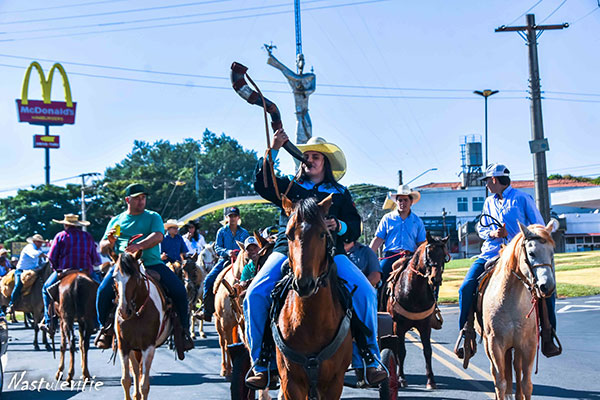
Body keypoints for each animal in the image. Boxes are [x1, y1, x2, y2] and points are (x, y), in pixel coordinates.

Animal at [112, 252, 171, 398]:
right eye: (114, 277)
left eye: (136, 276)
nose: (124, 311)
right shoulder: (123, 346)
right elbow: (126, 380)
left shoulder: (148, 347)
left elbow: (145, 385)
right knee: (135, 370)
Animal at [386, 233, 448, 390]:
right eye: (429, 253)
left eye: (444, 256)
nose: (435, 279)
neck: (413, 291)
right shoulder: (398, 326)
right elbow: (401, 351)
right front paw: (401, 378)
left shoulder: (425, 326)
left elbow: (427, 351)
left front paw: (431, 380)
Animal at [478, 222, 556, 400]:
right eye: (531, 253)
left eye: (552, 253)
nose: (547, 286)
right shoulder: (495, 344)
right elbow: (500, 382)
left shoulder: (529, 344)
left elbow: (526, 384)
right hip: (489, 344)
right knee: (496, 373)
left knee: (516, 369)